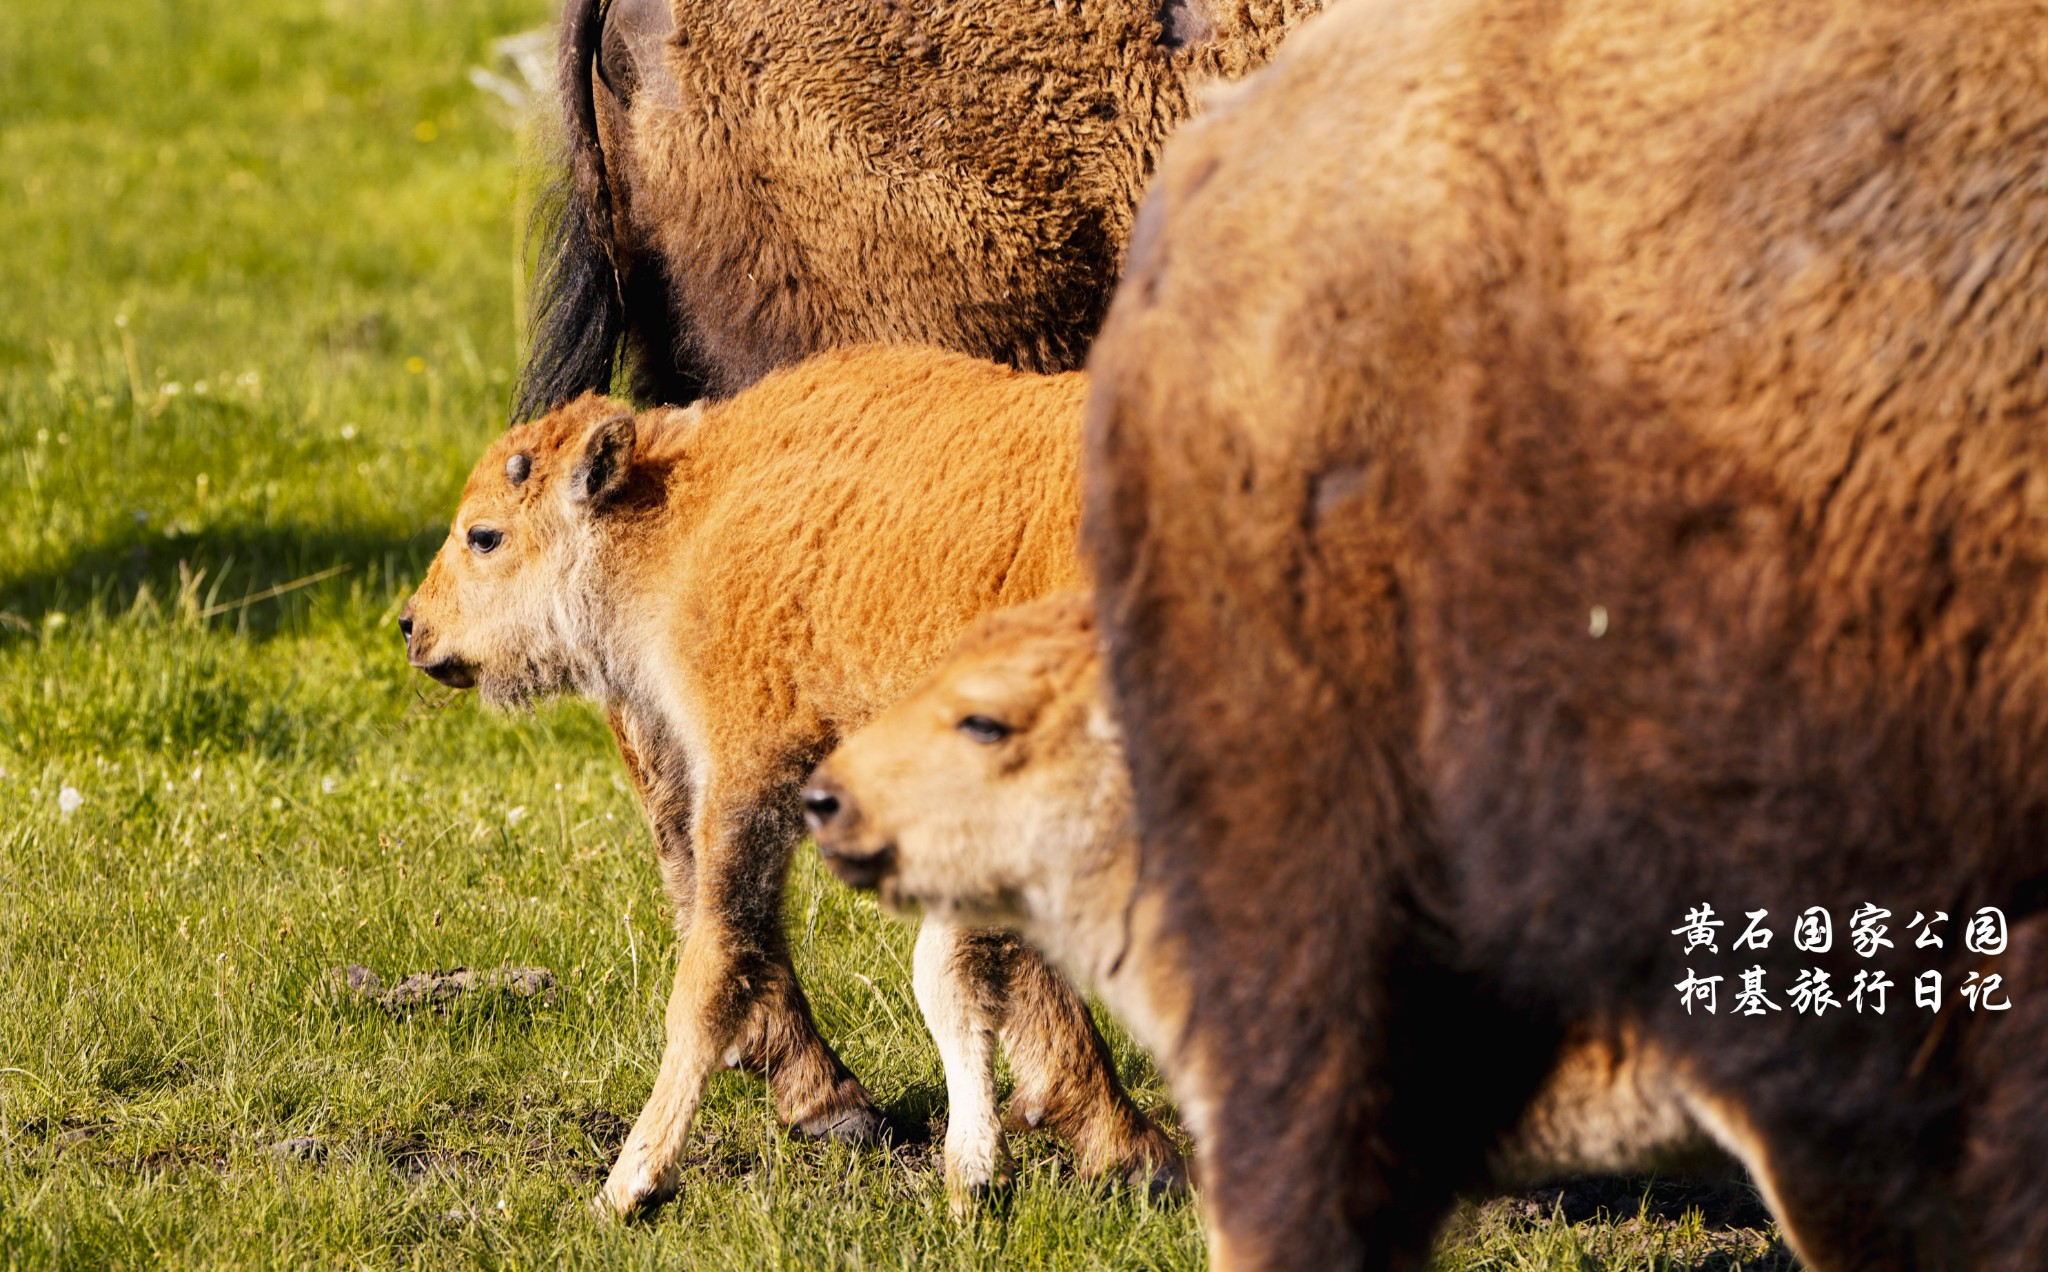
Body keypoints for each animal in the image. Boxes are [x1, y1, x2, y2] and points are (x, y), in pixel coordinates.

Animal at [399, 344, 1179, 1212]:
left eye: (485, 535)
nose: (413, 625)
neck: (691, 514)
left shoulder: (749, 768)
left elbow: (713, 972)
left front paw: (628, 1186)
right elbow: (950, 972)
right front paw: (974, 1175)